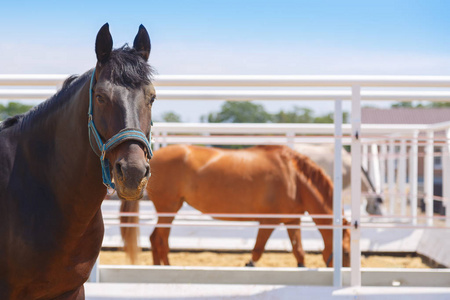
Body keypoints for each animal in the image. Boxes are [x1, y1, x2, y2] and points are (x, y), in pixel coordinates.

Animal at [122, 145, 352, 268]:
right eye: (347, 253)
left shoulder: (292, 220)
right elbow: (257, 251)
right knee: (159, 240)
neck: (293, 177)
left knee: (157, 240)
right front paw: (249, 265)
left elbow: (300, 253)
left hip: (170, 209)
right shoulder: (268, 221)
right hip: (168, 209)